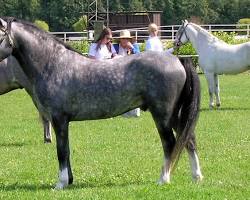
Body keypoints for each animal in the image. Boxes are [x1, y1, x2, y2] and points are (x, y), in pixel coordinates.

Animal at [0, 17, 203, 189]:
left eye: (0, 34)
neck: (53, 64)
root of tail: (177, 59)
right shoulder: (62, 122)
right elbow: (67, 150)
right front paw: (69, 180)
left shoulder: (59, 120)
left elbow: (61, 151)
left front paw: (61, 183)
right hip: (175, 114)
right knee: (189, 139)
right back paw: (197, 176)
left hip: (162, 114)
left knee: (170, 143)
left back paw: (163, 179)